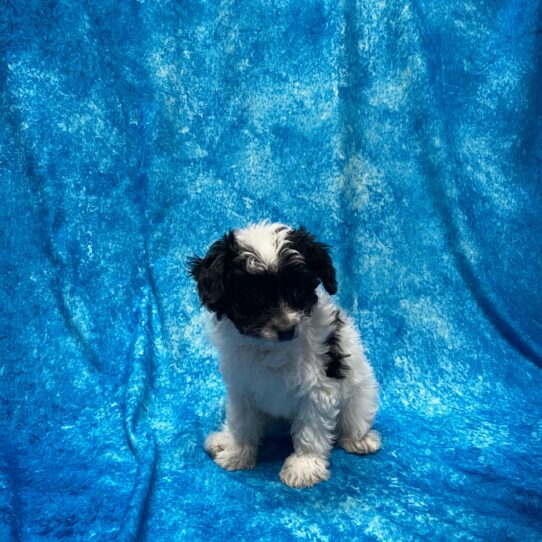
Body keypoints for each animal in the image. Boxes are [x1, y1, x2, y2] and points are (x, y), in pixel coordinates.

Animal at [189, 223, 380, 490]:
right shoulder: (241, 386)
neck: (269, 348)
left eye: (298, 290)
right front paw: (238, 452)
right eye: (254, 295)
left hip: (360, 392)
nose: (287, 329)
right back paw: (223, 439)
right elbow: (242, 421)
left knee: (355, 417)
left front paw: (304, 466)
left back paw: (359, 439)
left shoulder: (319, 385)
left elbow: (312, 427)